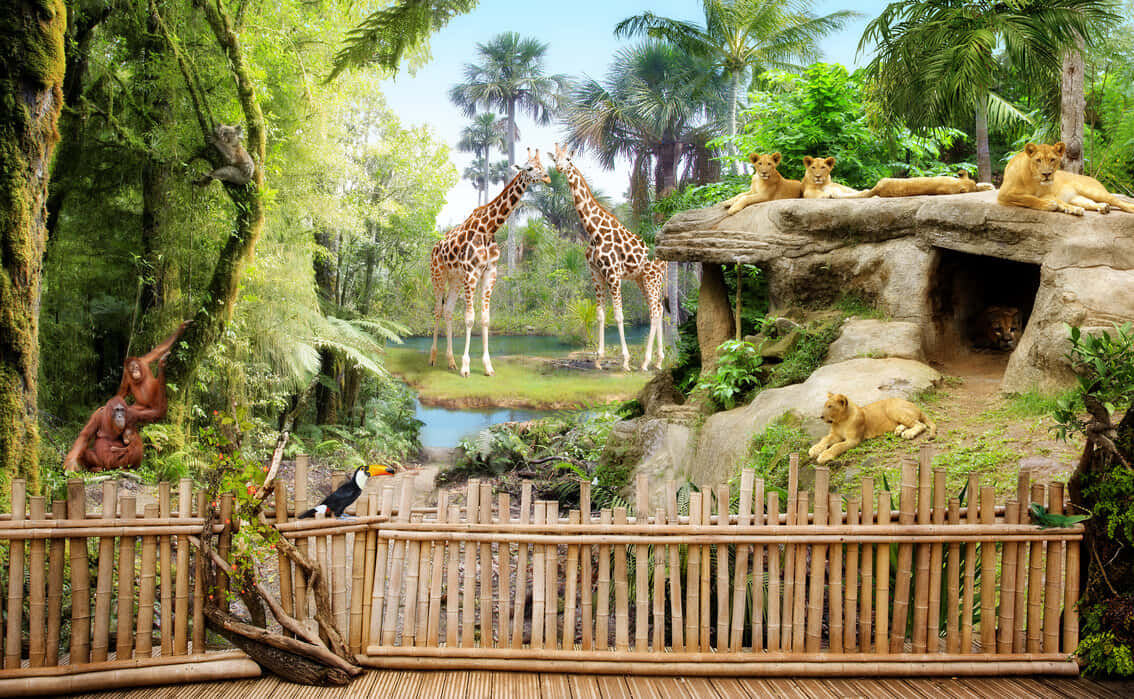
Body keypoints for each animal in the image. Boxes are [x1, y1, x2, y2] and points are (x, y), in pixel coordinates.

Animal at [807, 393, 937, 464]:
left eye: (830, 406)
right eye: (825, 406)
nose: (821, 416)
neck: (841, 421)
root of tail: (917, 406)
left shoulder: (853, 440)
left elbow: (837, 446)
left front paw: (823, 456)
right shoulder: (835, 435)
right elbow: (825, 439)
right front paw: (814, 449)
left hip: (892, 408)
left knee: (920, 424)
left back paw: (908, 433)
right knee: (911, 422)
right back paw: (899, 430)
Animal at [998, 142, 1134, 216]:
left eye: (1052, 159)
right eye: (1038, 160)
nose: (1046, 174)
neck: (1033, 179)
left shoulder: (1047, 194)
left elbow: (1033, 198)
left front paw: (1066, 208)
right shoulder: (1004, 194)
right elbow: (1027, 198)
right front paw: (1051, 205)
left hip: (1092, 190)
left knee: (1118, 201)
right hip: (1077, 198)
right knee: (1090, 203)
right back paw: (1103, 207)